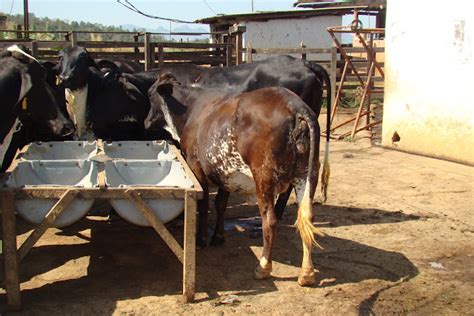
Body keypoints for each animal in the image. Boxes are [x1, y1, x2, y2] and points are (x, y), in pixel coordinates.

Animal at [148, 74, 324, 286]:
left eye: (150, 95)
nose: (146, 122)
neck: (191, 108)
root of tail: (295, 106)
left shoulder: (195, 164)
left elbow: (204, 204)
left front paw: (201, 240)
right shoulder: (225, 171)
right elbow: (220, 204)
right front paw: (218, 236)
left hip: (264, 176)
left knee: (270, 221)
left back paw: (263, 267)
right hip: (307, 174)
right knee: (307, 218)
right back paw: (307, 273)